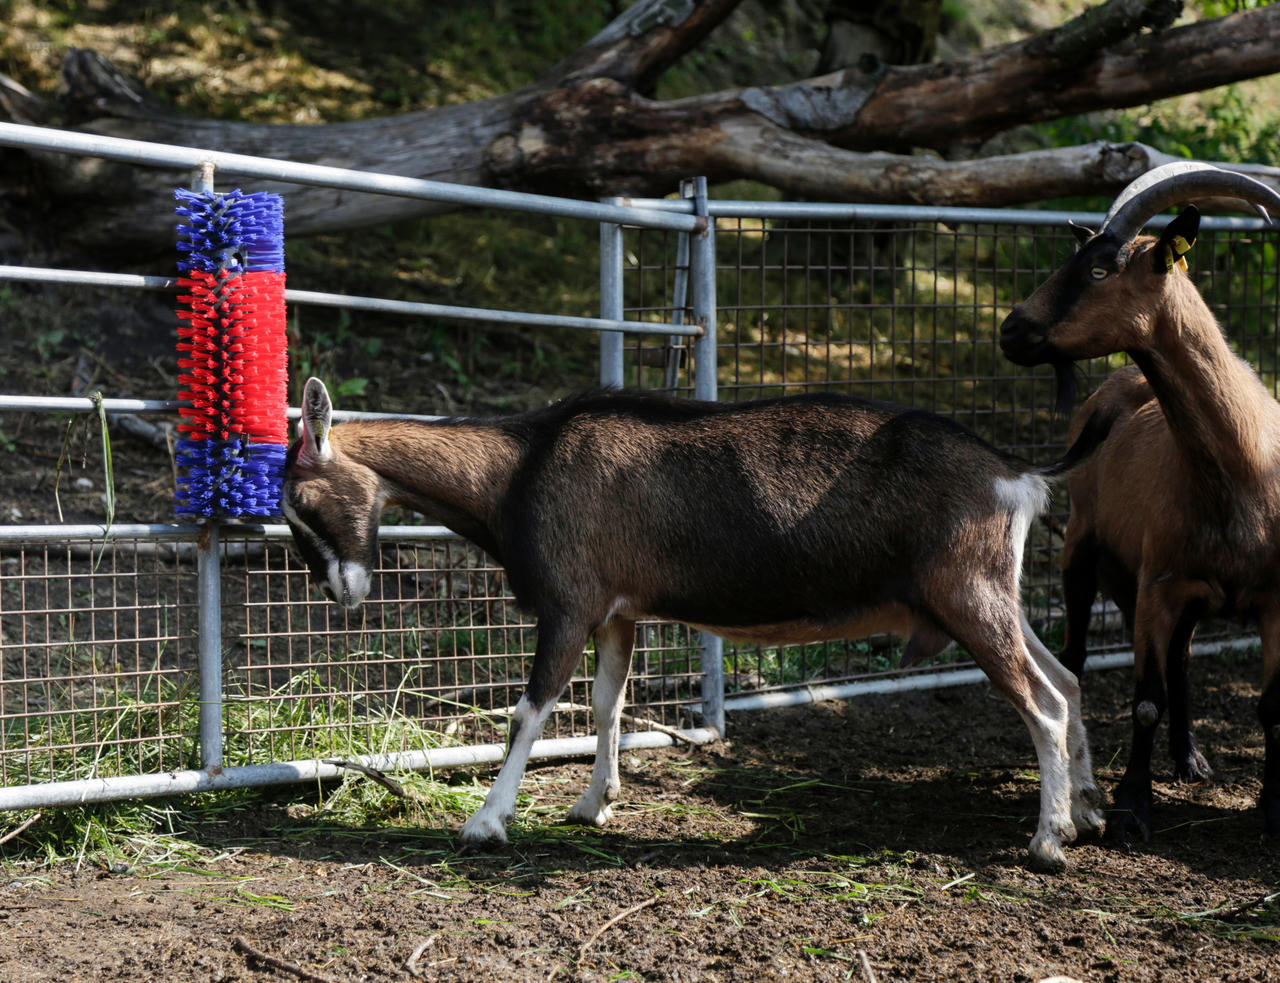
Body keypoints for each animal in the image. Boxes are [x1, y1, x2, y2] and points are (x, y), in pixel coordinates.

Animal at [285, 376, 1105, 870]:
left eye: (300, 499)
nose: (343, 592)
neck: (519, 469)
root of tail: (1018, 473)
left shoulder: (570, 602)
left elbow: (532, 709)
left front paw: (486, 822)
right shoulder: (618, 611)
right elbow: (609, 704)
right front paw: (593, 803)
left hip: (969, 595)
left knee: (1043, 703)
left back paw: (1047, 840)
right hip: (992, 594)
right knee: (1066, 680)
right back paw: (1087, 812)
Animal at [998, 165, 1280, 839]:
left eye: (1101, 269)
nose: (1010, 330)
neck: (1243, 465)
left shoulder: (1271, 599)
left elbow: (1270, 705)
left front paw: (1273, 805)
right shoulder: (1159, 585)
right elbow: (1146, 699)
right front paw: (1131, 806)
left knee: (1181, 663)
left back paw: (1191, 759)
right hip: (1083, 549)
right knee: (1076, 659)